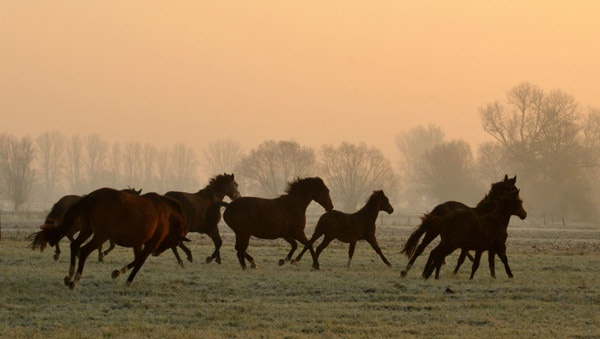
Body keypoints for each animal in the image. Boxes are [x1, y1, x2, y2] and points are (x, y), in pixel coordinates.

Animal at [28, 189, 186, 290]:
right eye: (175, 241)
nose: (157, 253)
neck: (166, 213)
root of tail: (92, 196)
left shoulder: (138, 243)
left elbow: (136, 259)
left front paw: (118, 272)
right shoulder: (151, 244)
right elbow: (140, 261)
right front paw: (127, 280)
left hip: (87, 230)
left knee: (75, 245)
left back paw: (70, 275)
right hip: (100, 236)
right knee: (83, 250)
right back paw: (75, 279)